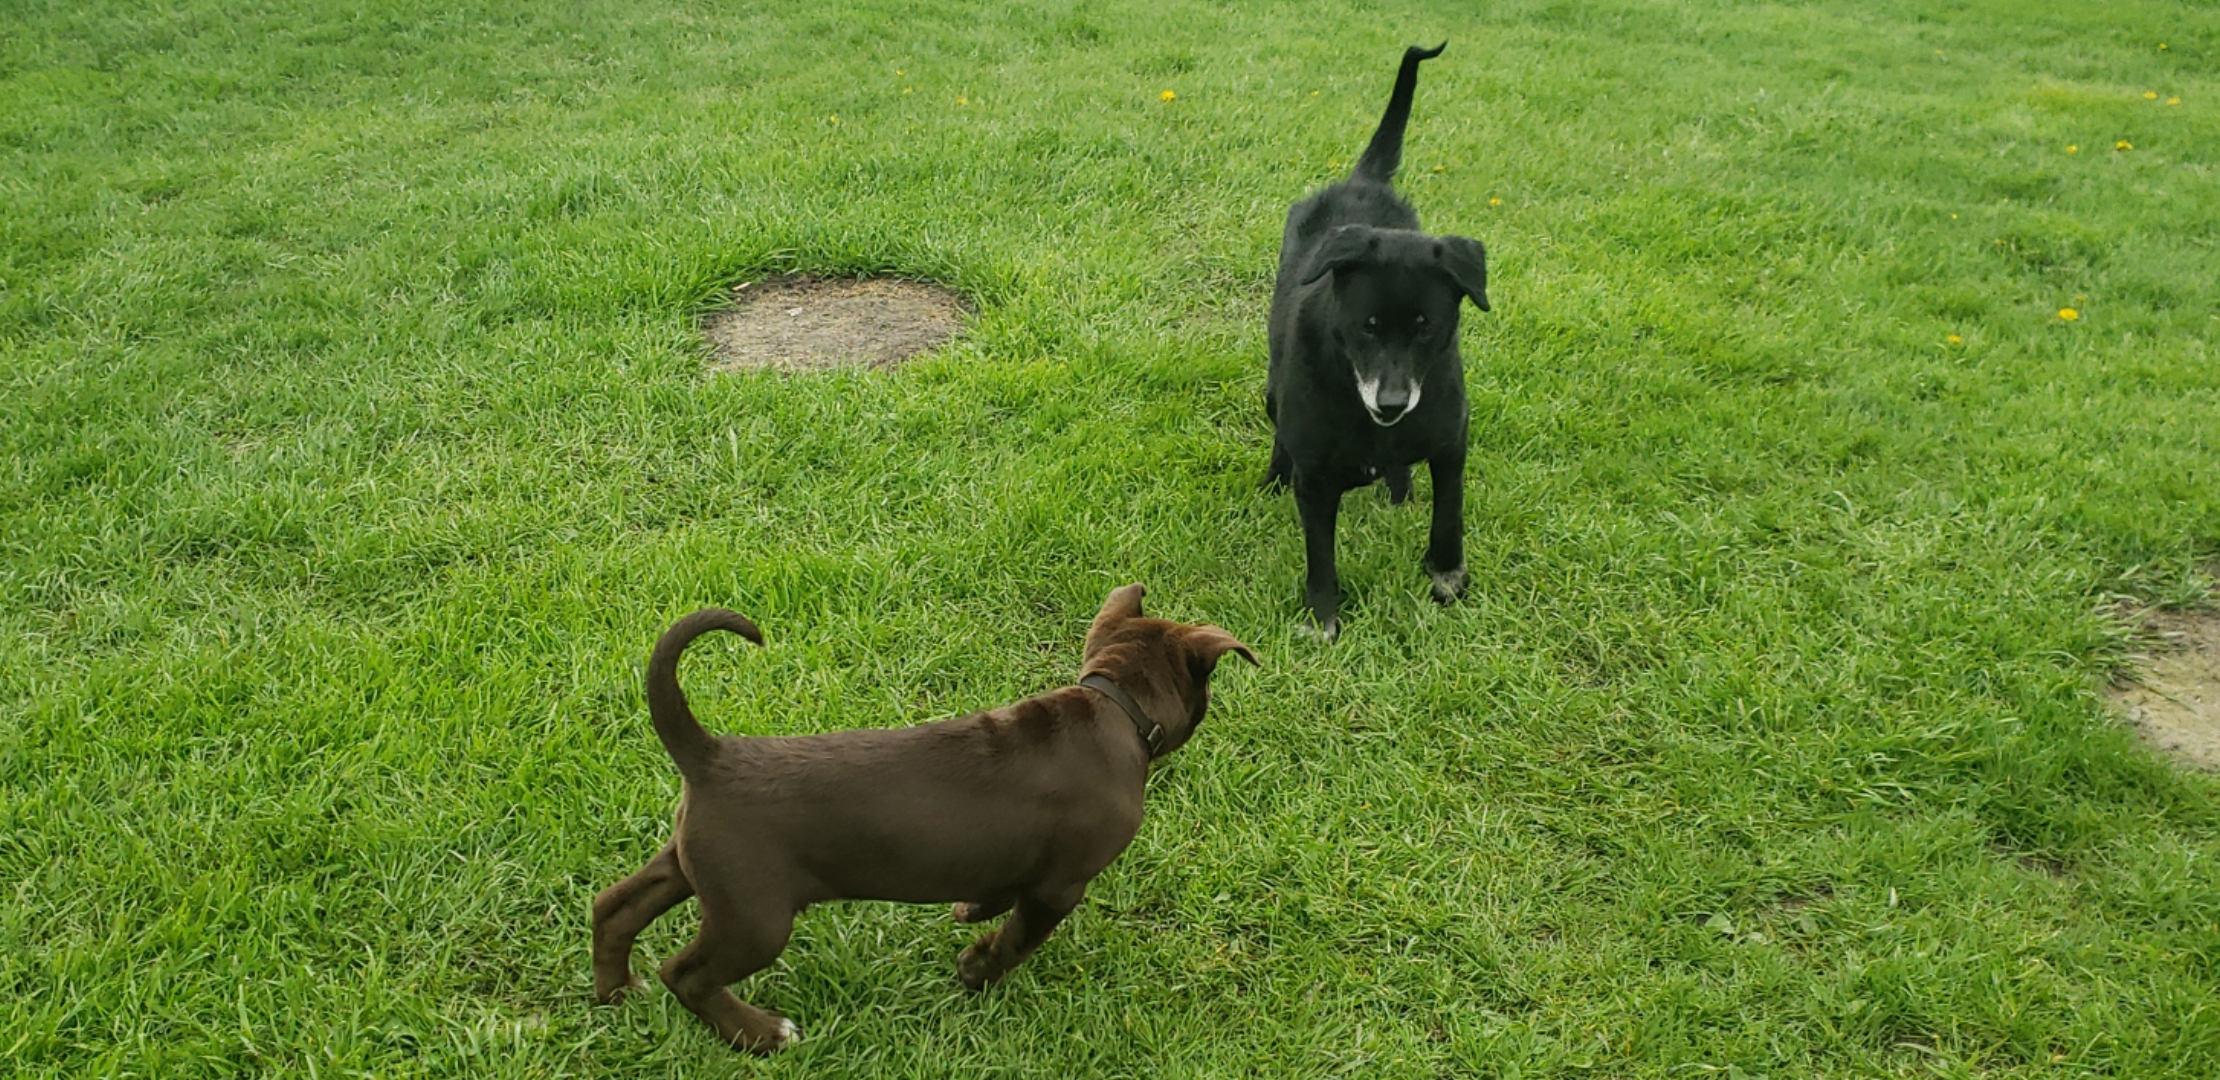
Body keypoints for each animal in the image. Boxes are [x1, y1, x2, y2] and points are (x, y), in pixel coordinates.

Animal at [590, 584, 1256, 1053]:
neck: (1115, 706)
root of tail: (711, 754)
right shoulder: (1060, 885)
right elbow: (1018, 937)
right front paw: (975, 970)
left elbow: (994, 890)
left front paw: (969, 912)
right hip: (756, 915)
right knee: (686, 973)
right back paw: (760, 1035)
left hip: (698, 867)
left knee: (614, 907)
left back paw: (615, 992)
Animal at [1264, 42, 1490, 641]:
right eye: (1366, 325)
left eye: (1426, 327)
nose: (1391, 403)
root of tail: (1363, 181)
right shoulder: (1317, 479)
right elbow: (1321, 554)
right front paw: (1322, 620)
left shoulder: (1450, 438)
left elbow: (1450, 512)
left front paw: (1446, 574)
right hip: (1274, 386)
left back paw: (1399, 492)